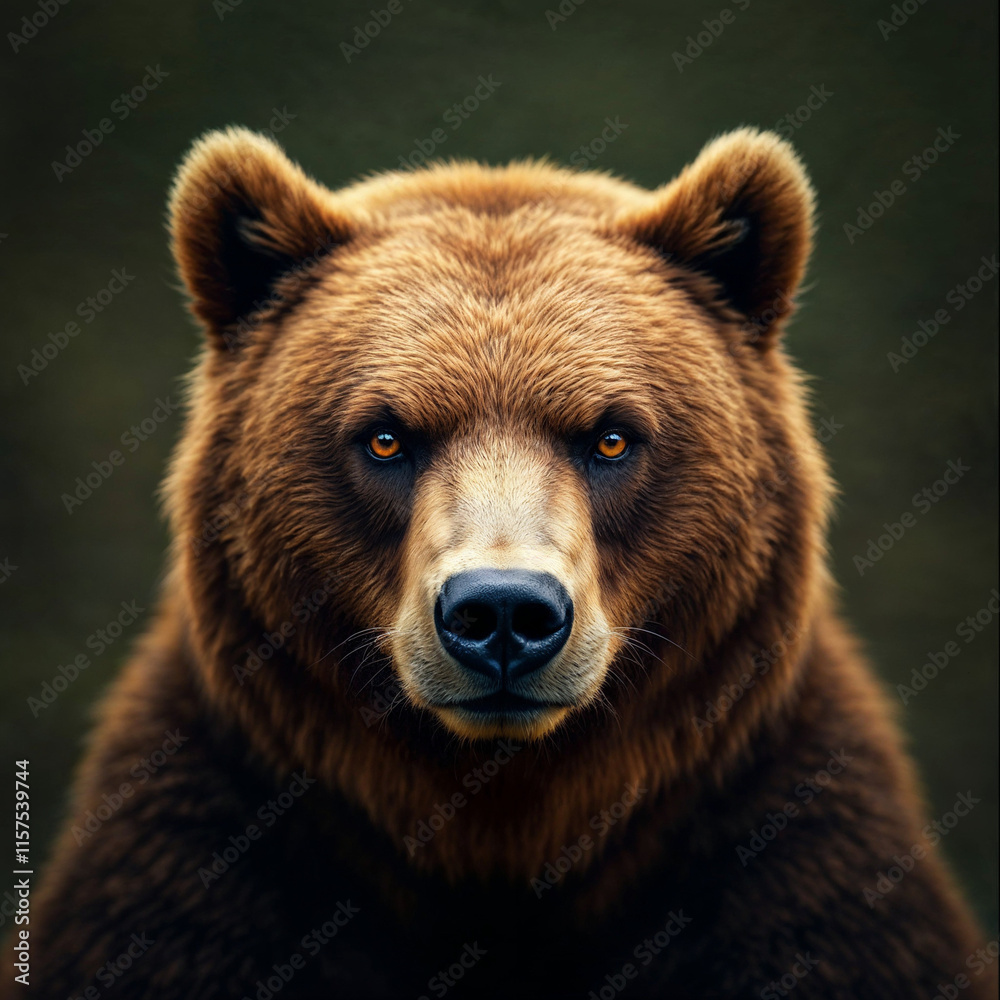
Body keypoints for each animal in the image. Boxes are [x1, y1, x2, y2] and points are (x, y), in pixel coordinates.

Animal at [8, 126, 992, 999]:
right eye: (385, 436)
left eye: (611, 436)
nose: (505, 613)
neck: (503, 832)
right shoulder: (207, 864)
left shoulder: (790, 860)